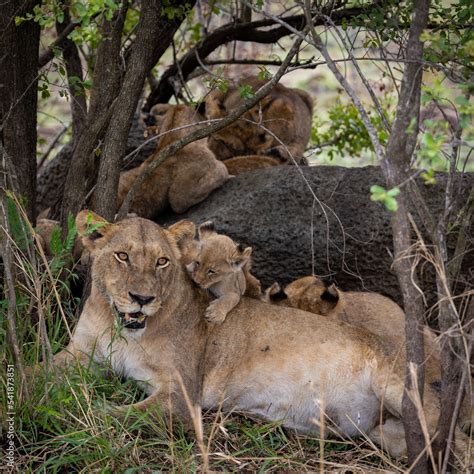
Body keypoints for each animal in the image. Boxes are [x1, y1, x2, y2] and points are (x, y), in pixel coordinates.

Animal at [39, 212, 466, 466]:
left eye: (162, 261)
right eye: (122, 256)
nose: (142, 298)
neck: (124, 331)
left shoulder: (182, 393)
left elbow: (113, 415)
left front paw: (66, 415)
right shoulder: (79, 355)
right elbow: (37, 374)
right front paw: (35, 396)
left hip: (400, 388)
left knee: (459, 441)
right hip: (388, 435)